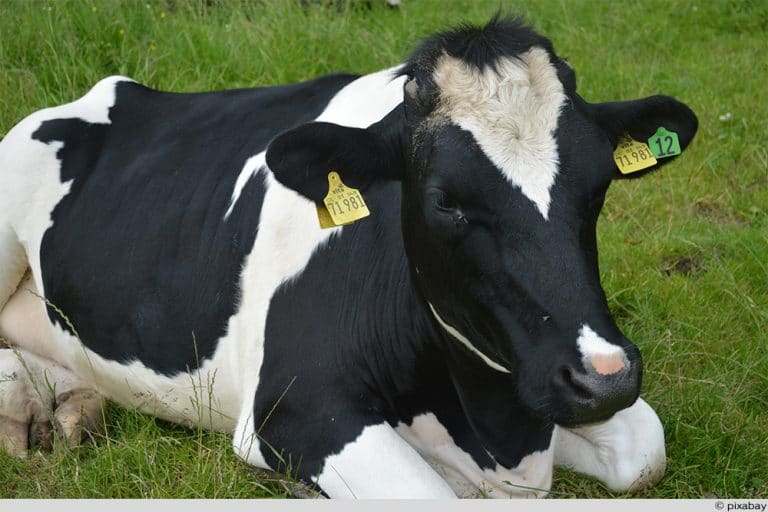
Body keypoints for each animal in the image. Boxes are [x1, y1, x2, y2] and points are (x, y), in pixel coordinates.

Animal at [0, 16, 697, 498]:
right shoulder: (295, 408)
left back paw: (72, 408)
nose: (604, 377)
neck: (496, 430)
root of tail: (113, 91)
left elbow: (644, 450)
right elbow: (427, 494)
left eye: (599, 185)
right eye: (445, 200)